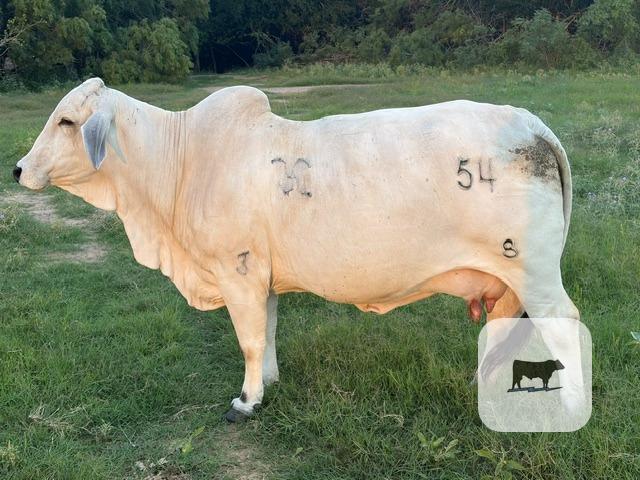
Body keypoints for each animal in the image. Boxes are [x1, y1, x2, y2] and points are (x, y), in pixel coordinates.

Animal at [13, 78, 580, 421]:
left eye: (66, 121)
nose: (18, 168)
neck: (181, 161)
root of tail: (532, 124)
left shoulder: (237, 271)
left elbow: (248, 340)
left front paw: (246, 401)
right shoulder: (261, 276)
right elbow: (266, 333)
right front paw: (268, 383)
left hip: (533, 271)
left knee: (564, 325)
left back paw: (572, 404)